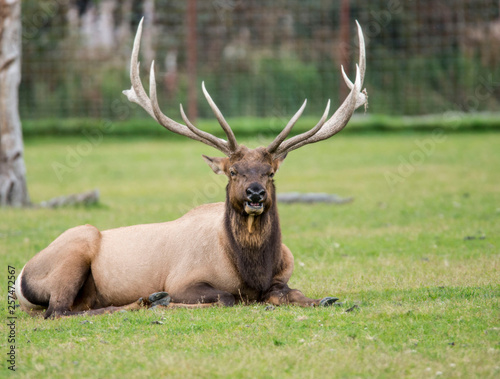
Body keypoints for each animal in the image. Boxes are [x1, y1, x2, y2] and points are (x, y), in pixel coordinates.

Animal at [15, 19, 368, 320]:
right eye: (233, 171)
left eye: (270, 172)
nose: (255, 194)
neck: (252, 272)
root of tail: (19, 279)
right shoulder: (183, 279)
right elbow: (226, 297)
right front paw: (167, 301)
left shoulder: (283, 276)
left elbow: (294, 294)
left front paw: (329, 299)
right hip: (76, 247)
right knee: (58, 311)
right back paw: (147, 300)